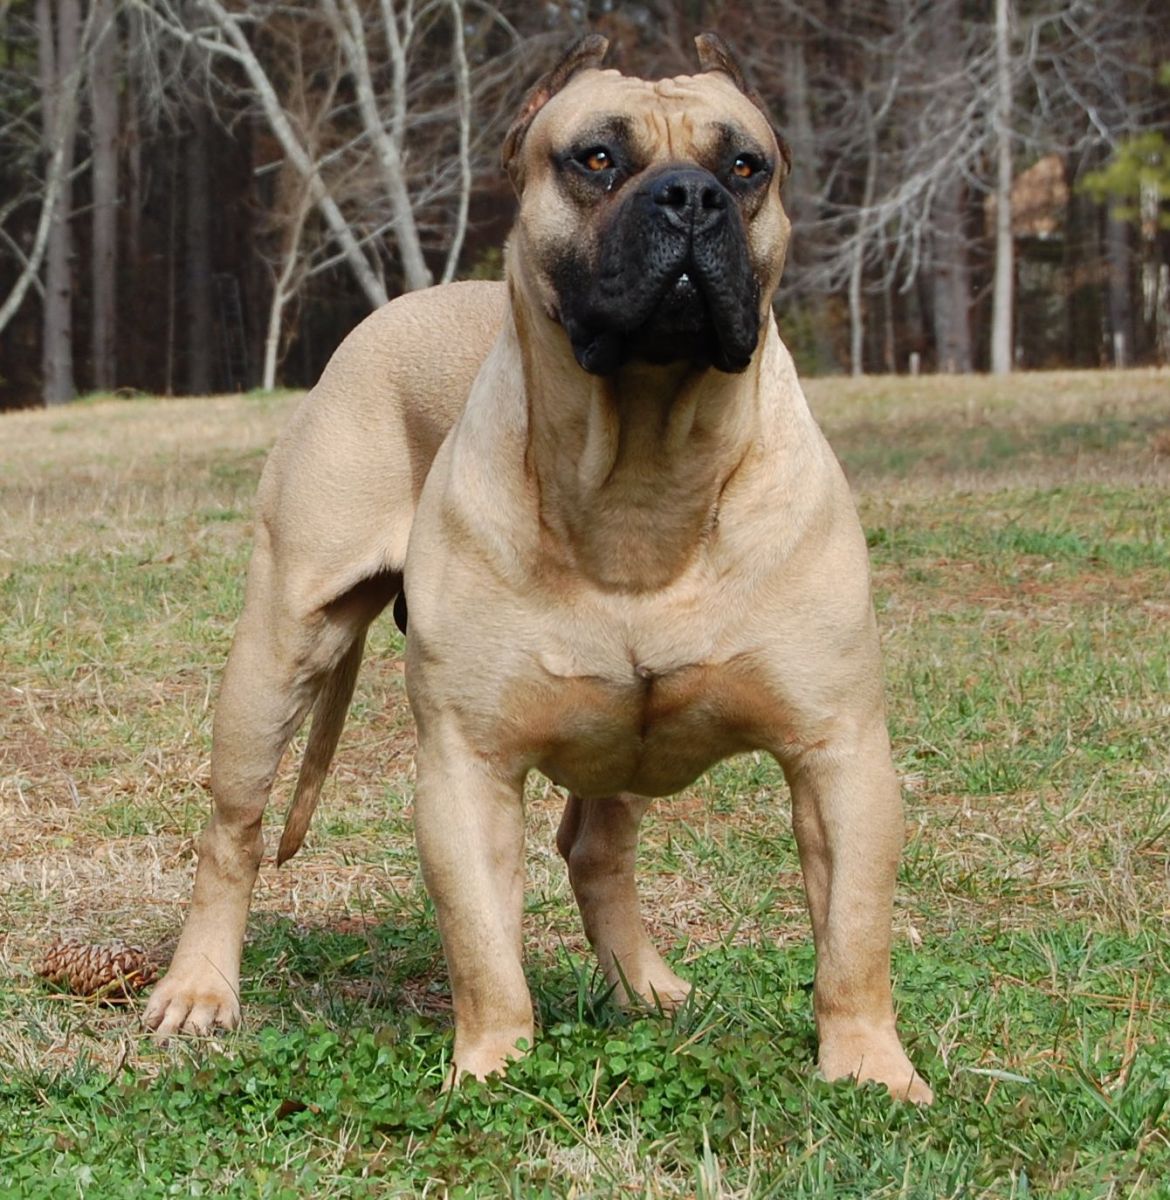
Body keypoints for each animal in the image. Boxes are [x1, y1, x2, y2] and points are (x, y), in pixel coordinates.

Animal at [144, 35, 931, 1104]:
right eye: (596, 158)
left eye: (745, 166)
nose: (690, 197)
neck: (643, 468)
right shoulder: (467, 767)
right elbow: (483, 944)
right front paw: (492, 1064)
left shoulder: (840, 753)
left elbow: (853, 935)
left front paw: (869, 1067)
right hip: (276, 654)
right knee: (233, 829)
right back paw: (199, 991)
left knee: (596, 848)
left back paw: (643, 986)